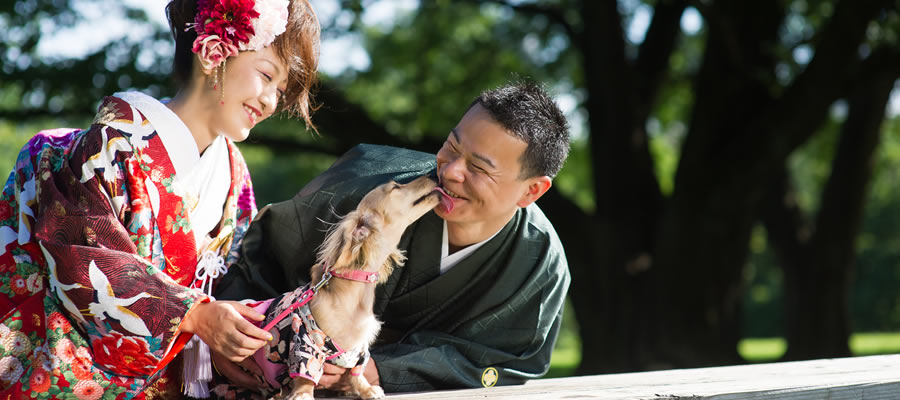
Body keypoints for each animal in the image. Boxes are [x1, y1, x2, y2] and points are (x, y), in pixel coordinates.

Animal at [248, 177, 450, 398]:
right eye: (395, 187)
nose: (433, 177)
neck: (354, 292)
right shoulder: (305, 338)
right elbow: (305, 372)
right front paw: (303, 393)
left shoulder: (358, 349)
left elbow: (356, 371)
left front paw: (366, 389)